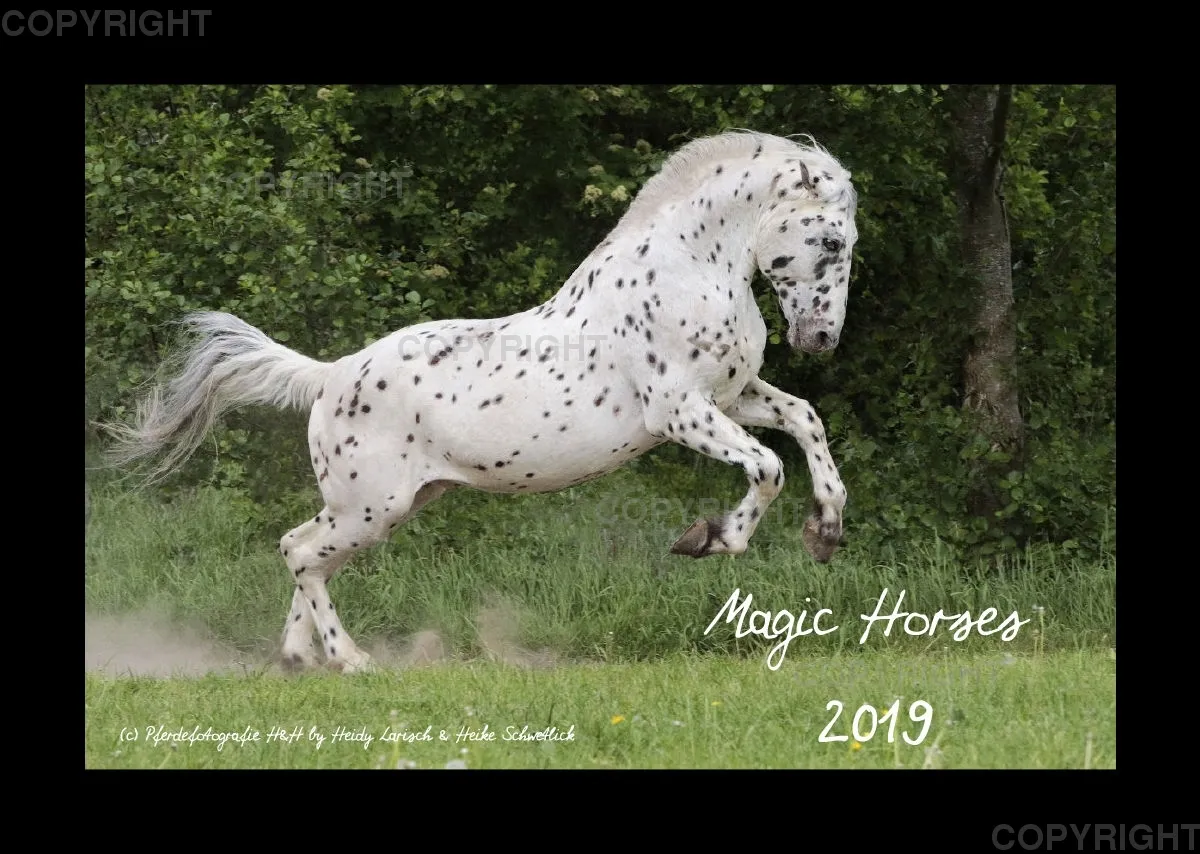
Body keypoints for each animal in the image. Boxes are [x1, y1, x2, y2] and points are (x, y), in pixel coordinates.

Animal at [104, 129, 860, 673]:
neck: (687, 269)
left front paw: (824, 533)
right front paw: (709, 539)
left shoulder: (732, 395)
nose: (821, 338)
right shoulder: (679, 410)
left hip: (387, 503)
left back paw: (297, 658)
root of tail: (328, 375)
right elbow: (767, 466)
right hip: (372, 506)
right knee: (302, 553)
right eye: (828, 240)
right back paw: (351, 661)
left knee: (305, 553)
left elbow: (804, 420)